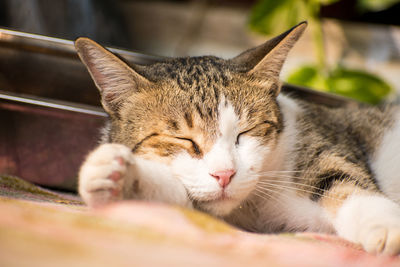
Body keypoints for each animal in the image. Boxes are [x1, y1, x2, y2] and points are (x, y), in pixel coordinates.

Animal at [74, 22, 400, 256]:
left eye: (245, 132)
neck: (254, 205)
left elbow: (345, 183)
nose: (225, 174)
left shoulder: (326, 146)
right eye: (183, 139)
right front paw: (121, 177)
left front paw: (385, 225)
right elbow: (177, 199)